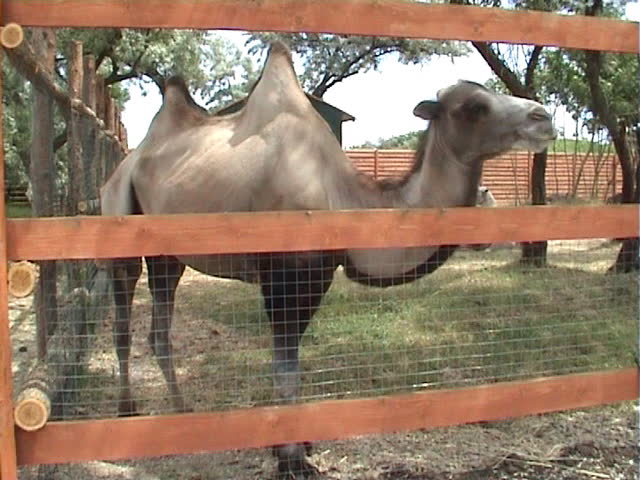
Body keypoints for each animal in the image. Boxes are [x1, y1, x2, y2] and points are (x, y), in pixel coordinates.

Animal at [100, 42, 556, 478]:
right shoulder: (287, 273)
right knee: (122, 325)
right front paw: (292, 461)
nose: (543, 117)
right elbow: (286, 368)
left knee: (159, 331)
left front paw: (296, 446)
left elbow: (292, 363)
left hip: (168, 254)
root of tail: (127, 163)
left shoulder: (316, 275)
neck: (342, 195)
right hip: (120, 222)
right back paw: (126, 410)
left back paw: (183, 414)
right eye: (474, 106)